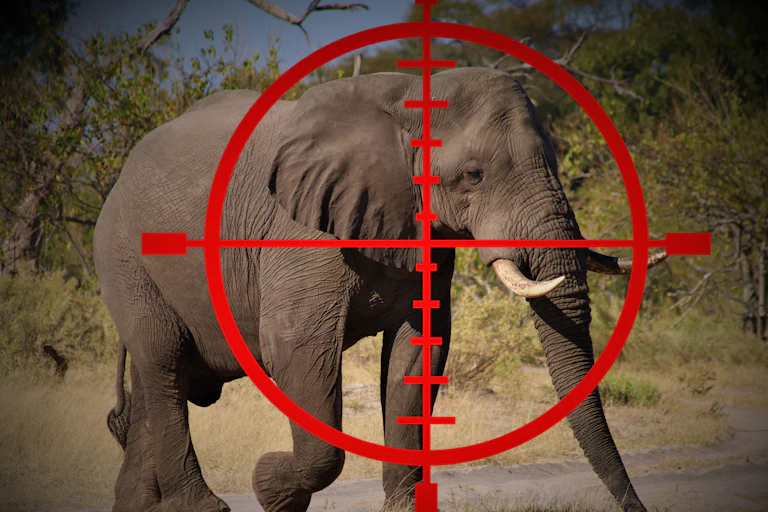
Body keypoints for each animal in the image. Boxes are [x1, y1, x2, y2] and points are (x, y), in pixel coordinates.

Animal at [94, 67, 666, 512]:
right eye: (473, 175)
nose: (638, 506)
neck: (405, 100)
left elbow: (419, 352)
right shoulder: (300, 234)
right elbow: (297, 351)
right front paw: (270, 487)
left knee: (155, 381)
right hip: (124, 258)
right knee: (163, 361)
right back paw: (201, 505)